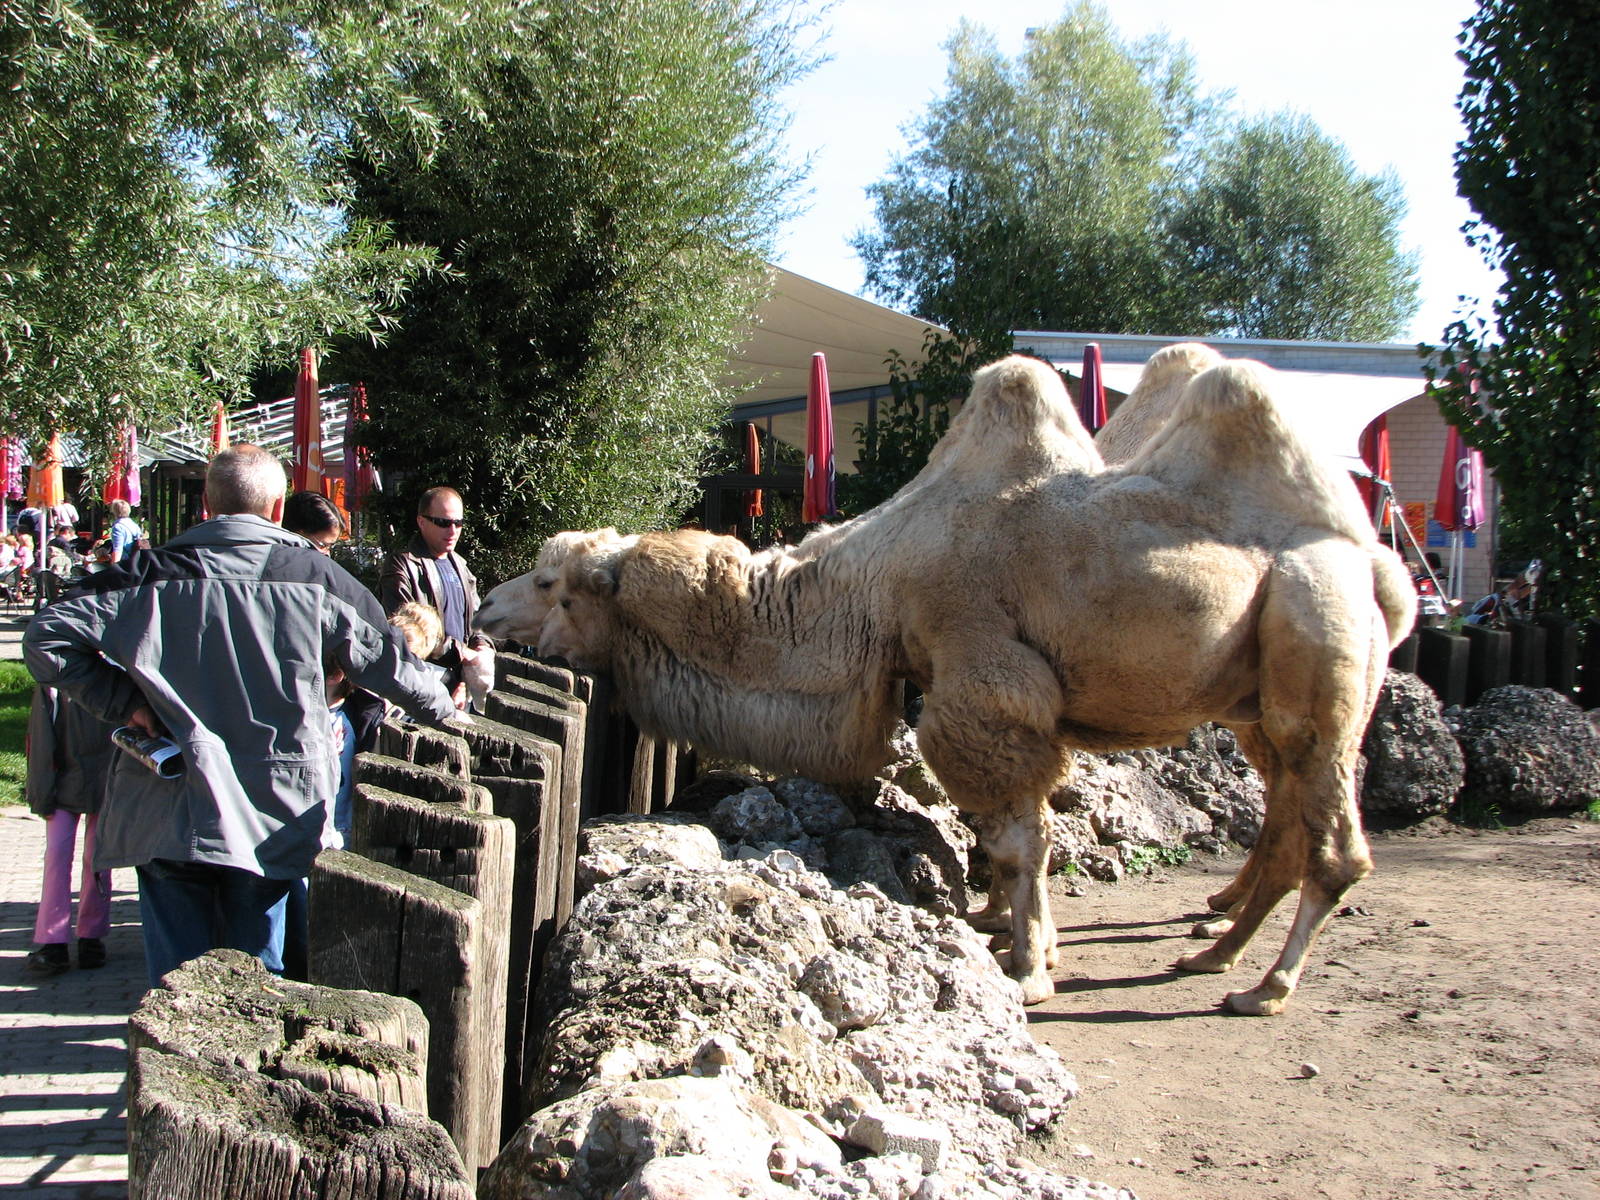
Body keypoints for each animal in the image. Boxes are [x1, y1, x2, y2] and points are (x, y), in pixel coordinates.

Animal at [478, 352, 1415, 1014]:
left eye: (553, 585)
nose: (484, 604)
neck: (871, 589)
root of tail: (1381, 569)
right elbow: (1005, 840)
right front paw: (1016, 937)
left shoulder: (984, 687)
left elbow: (1018, 840)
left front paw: (1029, 969)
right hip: (1259, 689)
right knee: (1287, 821)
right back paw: (1214, 948)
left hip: (1312, 627)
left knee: (1332, 839)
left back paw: (1264, 987)